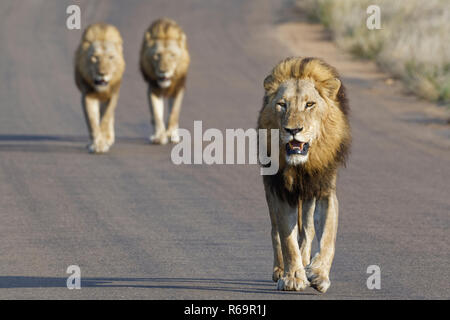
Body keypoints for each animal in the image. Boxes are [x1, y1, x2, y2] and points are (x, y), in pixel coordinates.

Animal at [74, 23, 125, 153]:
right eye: (95, 57)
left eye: (111, 57)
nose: (102, 73)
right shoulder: (88, 95)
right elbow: (92, 121)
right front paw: (97, 145)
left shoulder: (113, 95)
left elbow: (106, 118)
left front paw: (104, 141)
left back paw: (109, 137)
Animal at [141, 16, 190, 144]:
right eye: (157, 55)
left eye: (172, 55)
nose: (163, 71)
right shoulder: (154, 89)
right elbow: (156, 114)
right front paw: (160, 137)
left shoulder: (179, 88)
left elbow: (174, 113)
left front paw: (171, 133)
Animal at [256, 57, 352, 292]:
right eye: (282, 104)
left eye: (310, 105)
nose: (293, 130)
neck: (303, 166)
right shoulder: (282, 192)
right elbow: (287, 240)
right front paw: (293, 277)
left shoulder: (325, 191)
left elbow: (327, 237)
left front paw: (318, 274)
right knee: (275, 231)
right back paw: (280, 270)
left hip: (309, 197)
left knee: (307, 231)